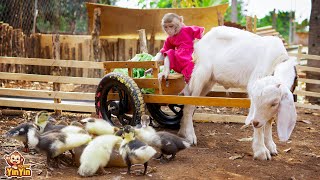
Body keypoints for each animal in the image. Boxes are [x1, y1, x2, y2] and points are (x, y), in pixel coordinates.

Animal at [159, 26, 298, 160]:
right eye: (256, 100)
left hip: (209, 80)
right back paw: (190, 136)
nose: (255, 122)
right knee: (189, 105)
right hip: (201, 73)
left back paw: (182, 131)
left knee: (189, 97)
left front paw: (271, 146)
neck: (277, 62)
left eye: (274, 103)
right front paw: (261, 151)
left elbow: (269, 120)